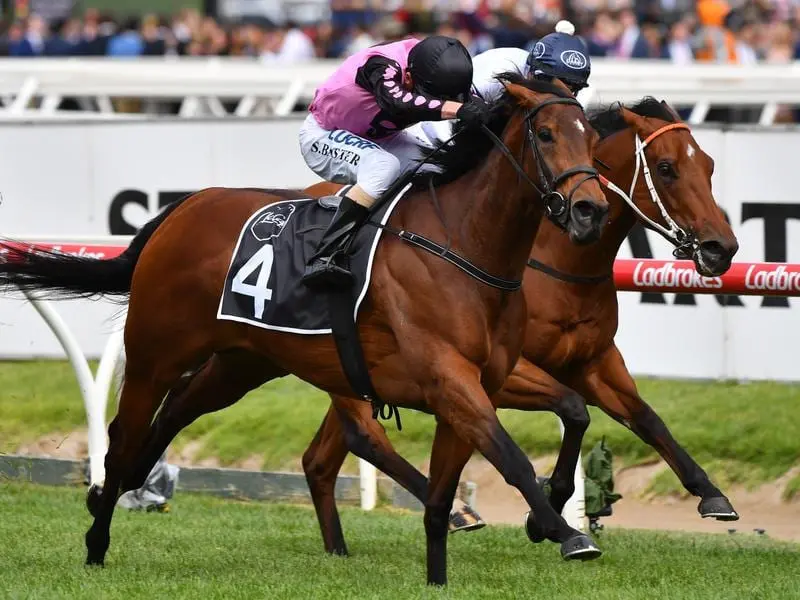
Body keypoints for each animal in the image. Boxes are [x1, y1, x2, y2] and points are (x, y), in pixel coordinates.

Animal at [0, 75, 608, 584]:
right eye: (546, 134)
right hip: (155, 354)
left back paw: (126, 490)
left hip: (241, 362)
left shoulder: (479, 383)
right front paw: (565, 531)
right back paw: (97, 538)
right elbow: (511, 456)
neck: (462, 245)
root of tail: (185, 207)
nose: (589, 211)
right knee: (123, 440)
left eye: (592, 139)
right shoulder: (449, 380)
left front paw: (460, 558)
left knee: (173, 415)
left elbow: (555, 420)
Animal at [130, 98, 736, 552]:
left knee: (317, 454)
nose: (720, 248)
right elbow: (574, 410)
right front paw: (548, 512)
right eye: (666, 168)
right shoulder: (499, 373)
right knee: (360, 435)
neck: (549, 256)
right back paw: (453, 512)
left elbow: (643, 417)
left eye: (709, 164)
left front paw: (710, 494)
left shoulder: (593, 359)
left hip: (291, 358)